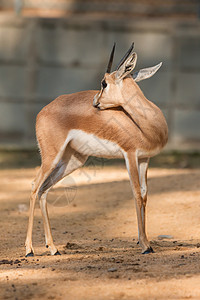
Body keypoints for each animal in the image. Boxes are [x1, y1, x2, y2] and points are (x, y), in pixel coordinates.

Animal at [25, 43, 169, 256]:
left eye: (104, 83)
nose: (95, 101)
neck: (146, 125)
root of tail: (43, 110)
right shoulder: (130, 154)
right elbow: (135, 192)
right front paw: (145, 245)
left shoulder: (144, 158)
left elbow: (144, 194)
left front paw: (143, 241)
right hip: (51, 156)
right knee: (35, 186)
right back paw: (29, 249)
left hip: (72, 160)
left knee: (44, 189)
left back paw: (53, 248)